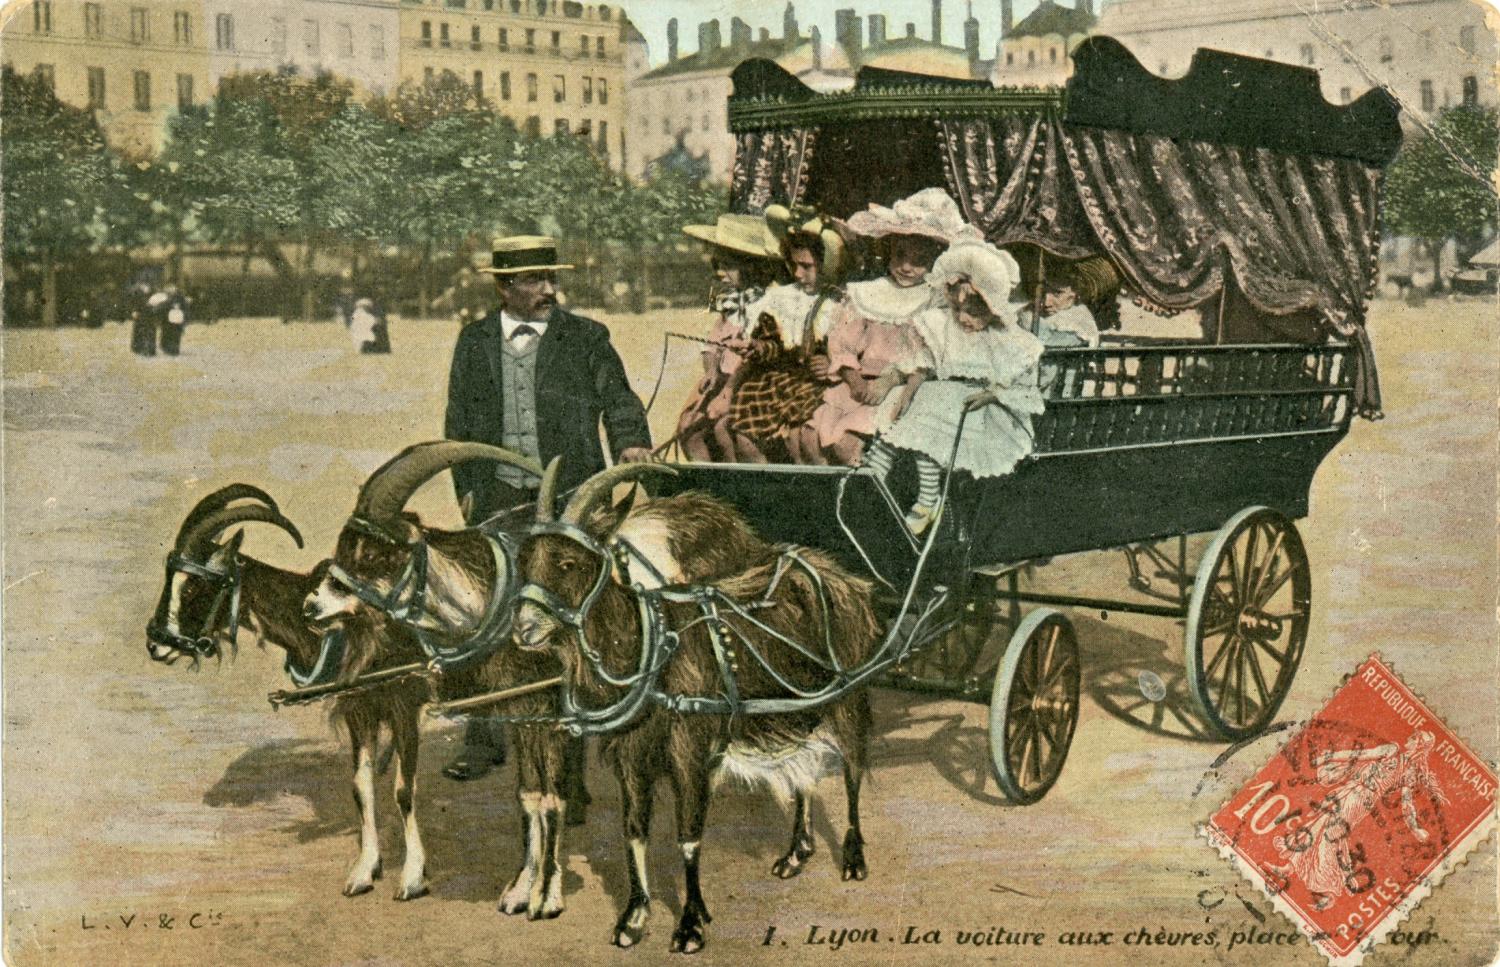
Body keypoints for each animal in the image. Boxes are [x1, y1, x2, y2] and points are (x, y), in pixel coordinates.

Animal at [513, 464, 876, 953]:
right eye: (524, 561)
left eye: (569, 563)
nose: (524, 628)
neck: (653, 650)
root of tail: (845, 579)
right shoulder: (630, 757)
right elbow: (634, 831)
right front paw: (633, 918)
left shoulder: (691, 752)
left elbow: (688, 836)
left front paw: (689, 926)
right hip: (794, 707)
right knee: (804, 768)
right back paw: (795, 853)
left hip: (849, 696)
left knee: (853, 769)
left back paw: (853, 859)